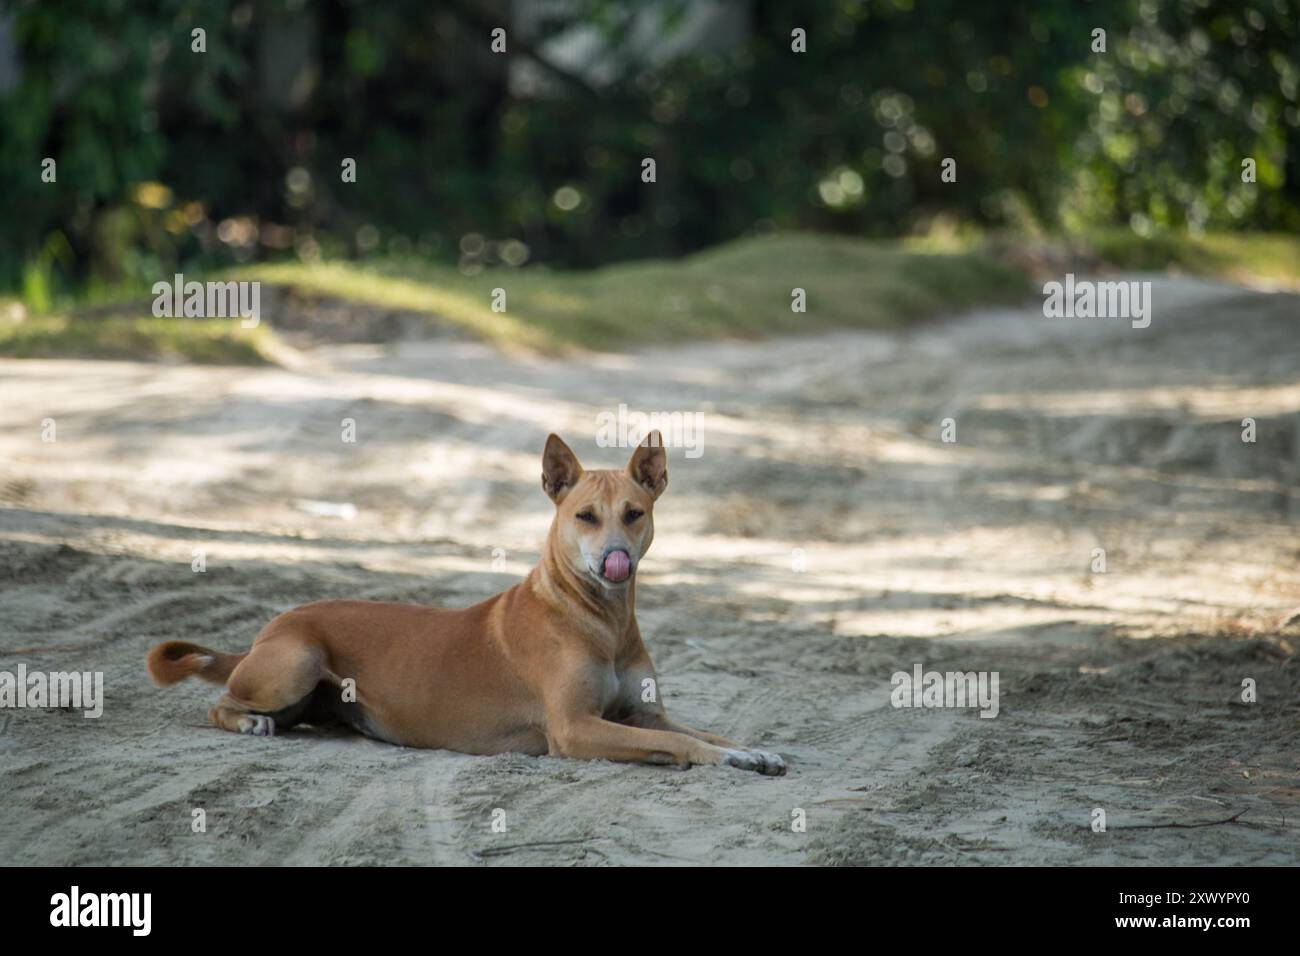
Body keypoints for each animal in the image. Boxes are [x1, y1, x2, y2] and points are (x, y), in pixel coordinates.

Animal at [148, 434, 785, 780]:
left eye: (634, 514)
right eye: (585, 516)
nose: (615, 560)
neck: (597, 619)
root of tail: (266, 630)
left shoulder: (644, 715)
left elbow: (708, 732)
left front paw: (750, 752)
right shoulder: (575, 728)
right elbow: (683, 744)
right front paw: (718, 759)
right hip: (295, 661)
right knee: (220, 703)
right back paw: (245, 719)